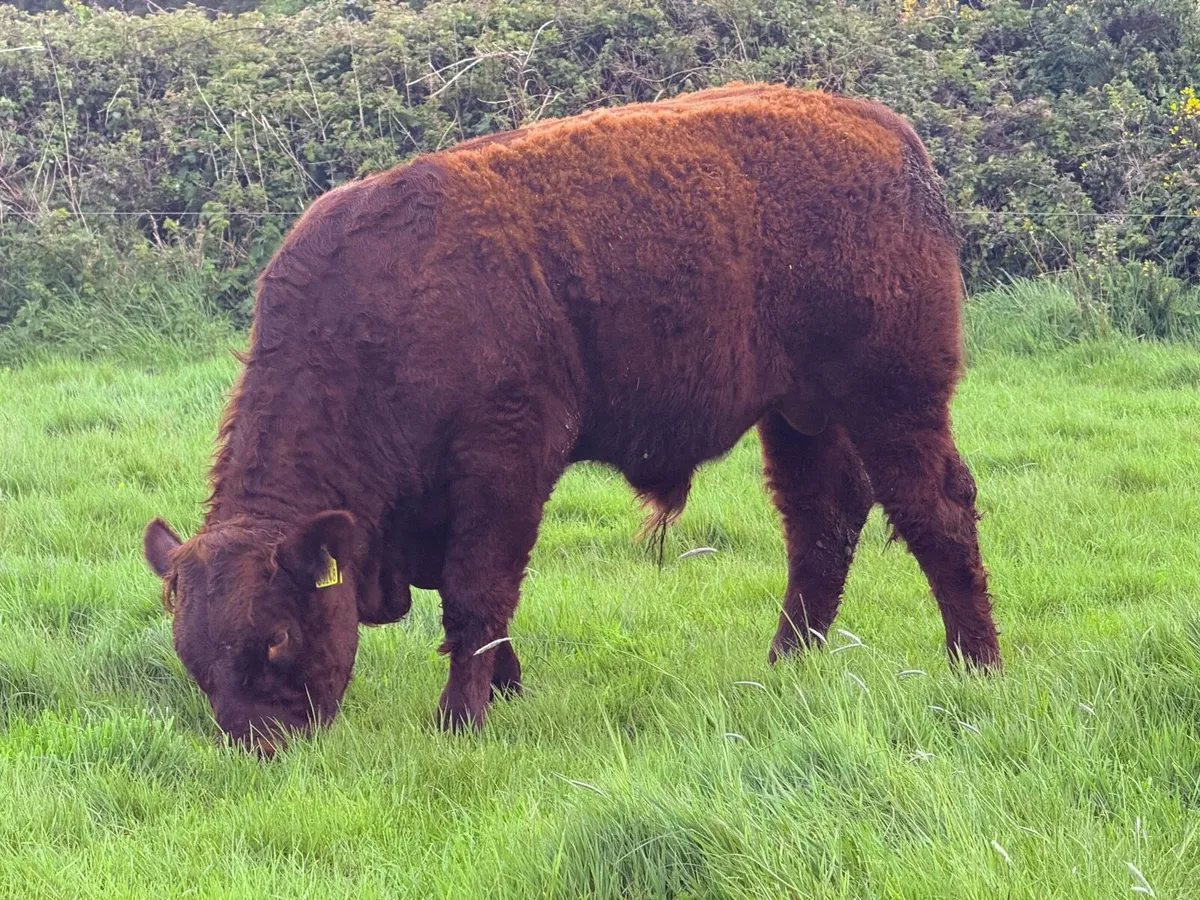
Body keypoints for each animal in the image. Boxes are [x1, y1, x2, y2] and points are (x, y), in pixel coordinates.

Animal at [142, 82, 1001, 755]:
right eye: (194, 660)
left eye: (277, 639)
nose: (260, 746)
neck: (374, 318)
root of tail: (888, 133)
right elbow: (465, 601)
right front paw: (505, 688)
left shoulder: (505, 463)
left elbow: (476, 591)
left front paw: (459, 720)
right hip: (801, 417)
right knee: (822, 522)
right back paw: (787, 665)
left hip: (894, 399)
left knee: (936, 512)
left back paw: (975, 665)